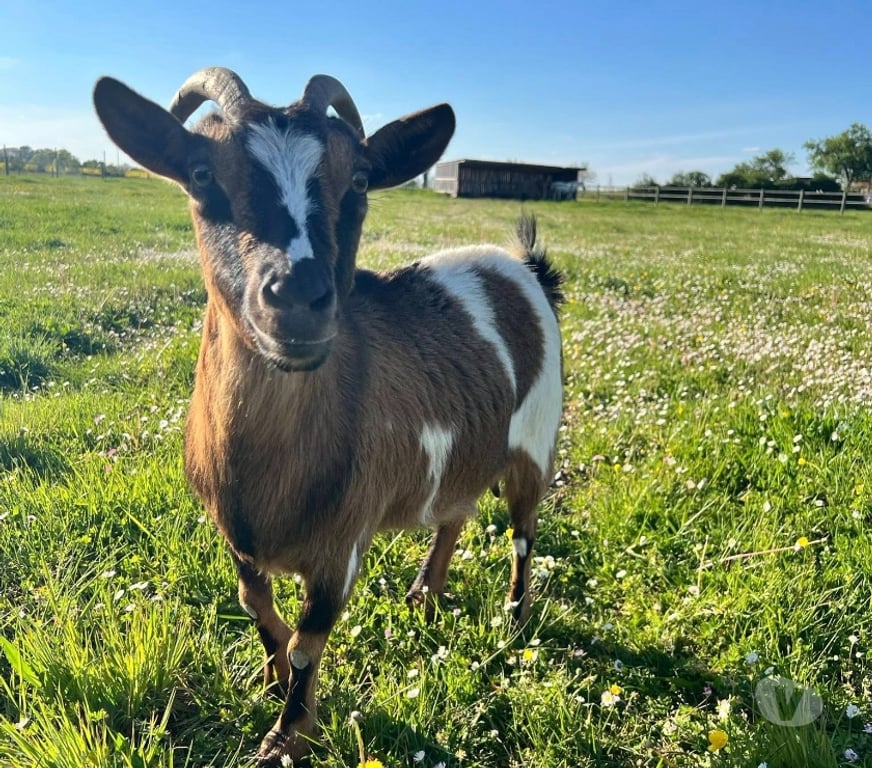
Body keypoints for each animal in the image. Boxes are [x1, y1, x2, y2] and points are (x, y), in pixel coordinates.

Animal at [93, 68, 563, 766]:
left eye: (361, 179)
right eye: (201, 173)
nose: (299, 295)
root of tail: (524, 266)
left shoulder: (342, 543)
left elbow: (308, 640)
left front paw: (288, 734)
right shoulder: (235, 534)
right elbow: (255, 602)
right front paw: (270, 678)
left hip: (535, 434)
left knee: (523, 530)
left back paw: (512, 619)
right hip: (463, 451)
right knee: (454, 511)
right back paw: (424, 595)